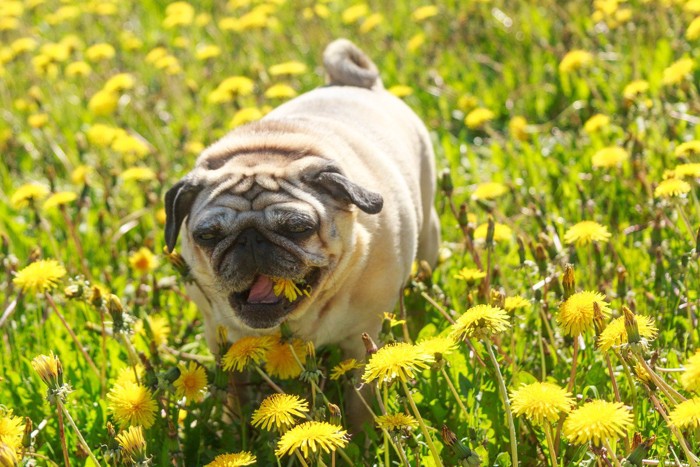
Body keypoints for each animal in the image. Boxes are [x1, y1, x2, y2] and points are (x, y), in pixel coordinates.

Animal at [164, 40, 438, 362]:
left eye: (298, 228)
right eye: (206, 236)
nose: (250, 239)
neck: (266, 151)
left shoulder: (363, 335)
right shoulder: (217, 334)